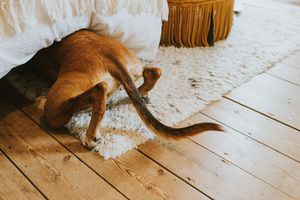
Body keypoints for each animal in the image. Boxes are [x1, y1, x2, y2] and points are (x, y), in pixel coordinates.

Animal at [27, 29, 224, 148]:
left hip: (55, 108)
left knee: (98, 92)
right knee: (154, 72)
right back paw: (142, 92)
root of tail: (108, 54)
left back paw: (89, 135)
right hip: (134, 66)